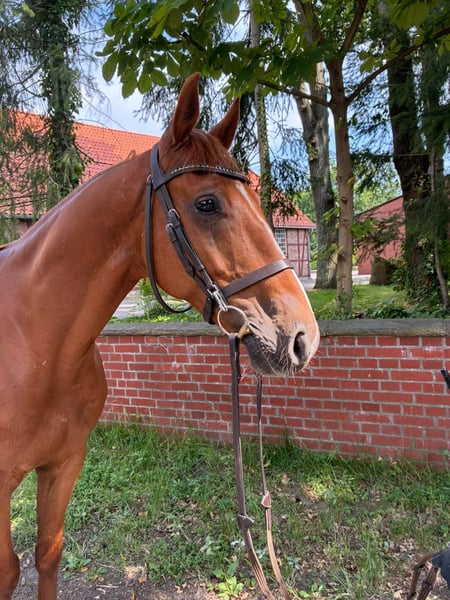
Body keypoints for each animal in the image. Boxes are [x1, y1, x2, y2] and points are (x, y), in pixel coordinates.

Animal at [0, 73, 319, 600]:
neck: (37, 345)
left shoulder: (64, 463)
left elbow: (47, 552)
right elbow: (8, 568)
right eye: (206, 203)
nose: (302, 337)